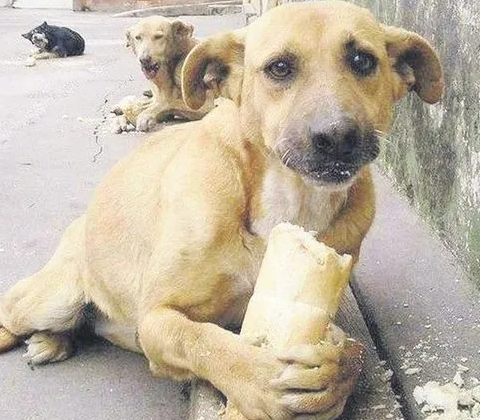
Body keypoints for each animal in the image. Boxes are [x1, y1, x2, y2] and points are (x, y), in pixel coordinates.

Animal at [0, 1, 442, 418]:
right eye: (280, 67)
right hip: (52, 297)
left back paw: (52, 341)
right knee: (11, 311)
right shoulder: (156, 318)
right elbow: (203, 341)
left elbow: (355, 351)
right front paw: (257, 379)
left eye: (363, 61)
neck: (288, 200)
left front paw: (335, 375)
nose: (337, 137)